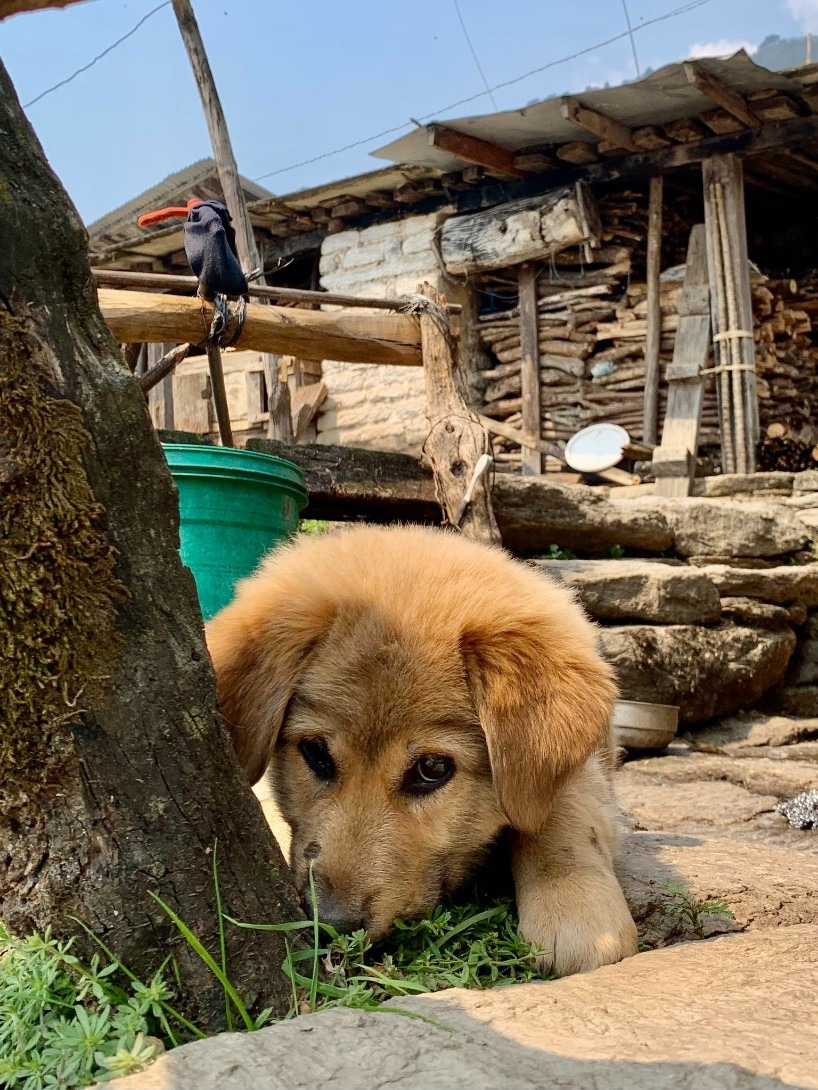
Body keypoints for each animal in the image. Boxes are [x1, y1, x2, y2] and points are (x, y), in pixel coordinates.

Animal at [205, 523, 641, 976]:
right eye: (316, 753)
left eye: (432, 768)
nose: (333, 926)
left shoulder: (583, 770)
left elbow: (558, 810)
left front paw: (574, 905)